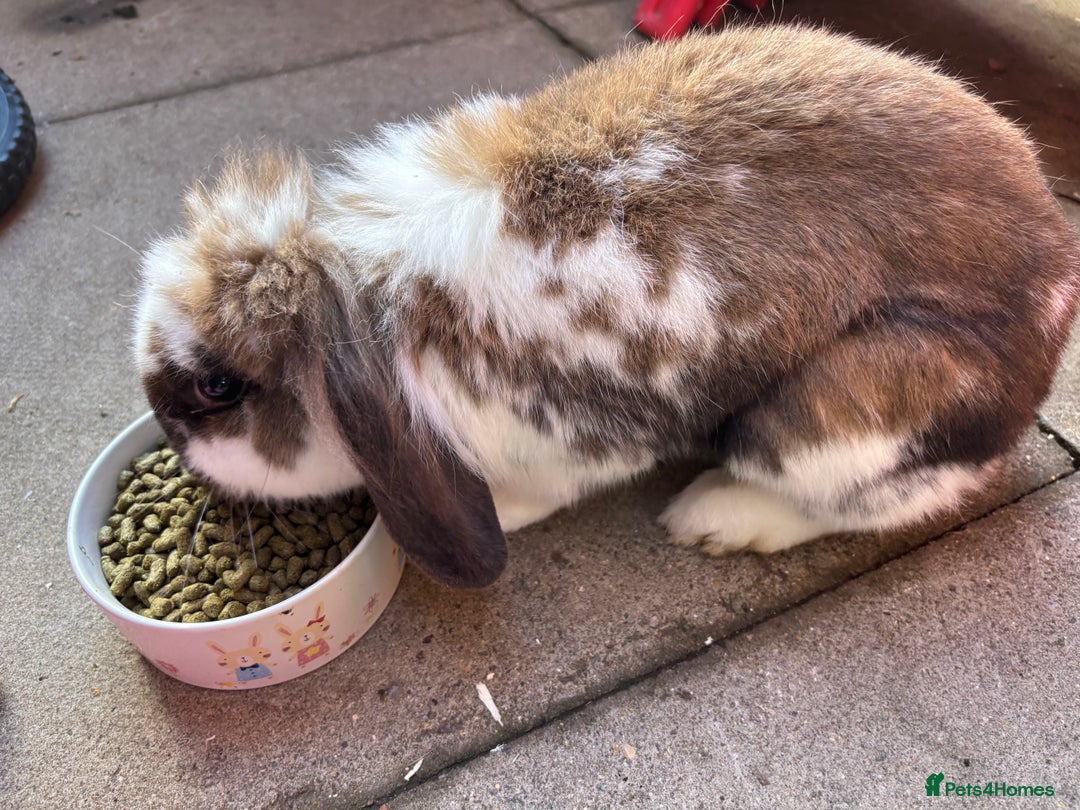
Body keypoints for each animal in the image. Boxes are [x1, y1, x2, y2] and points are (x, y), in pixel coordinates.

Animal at [134, 24, 1080, 589]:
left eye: (217, 386)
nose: (176, 446)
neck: (376, 307)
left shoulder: (559, 433)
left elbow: (544, 487)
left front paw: (509, 514)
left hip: (836, 417)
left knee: (881, 497)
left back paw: (715, 519)